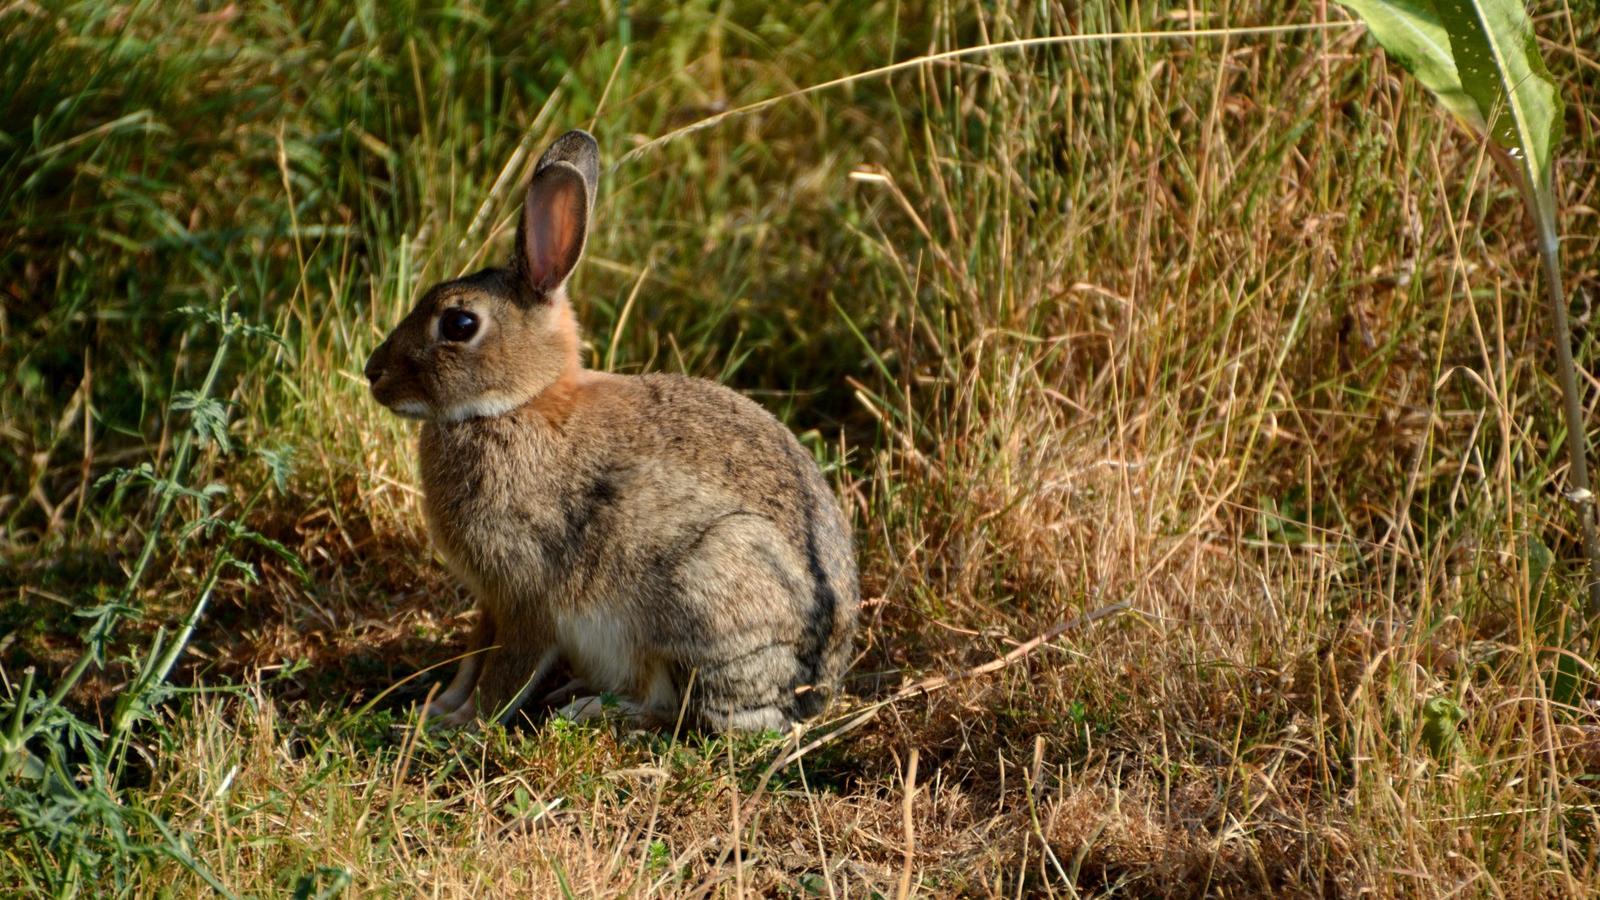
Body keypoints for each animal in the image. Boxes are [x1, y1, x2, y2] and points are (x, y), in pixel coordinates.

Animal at [364, 129, 864, 733]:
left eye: (459, 324)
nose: (372, 373)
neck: (517, 404)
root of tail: (814, 689)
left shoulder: (526, 596)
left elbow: (506, 672)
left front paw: (464, 725)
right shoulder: (490, 601)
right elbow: (473, 658)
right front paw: (437, 709)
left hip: (701, 594)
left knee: (675, 708)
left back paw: (589, 706)